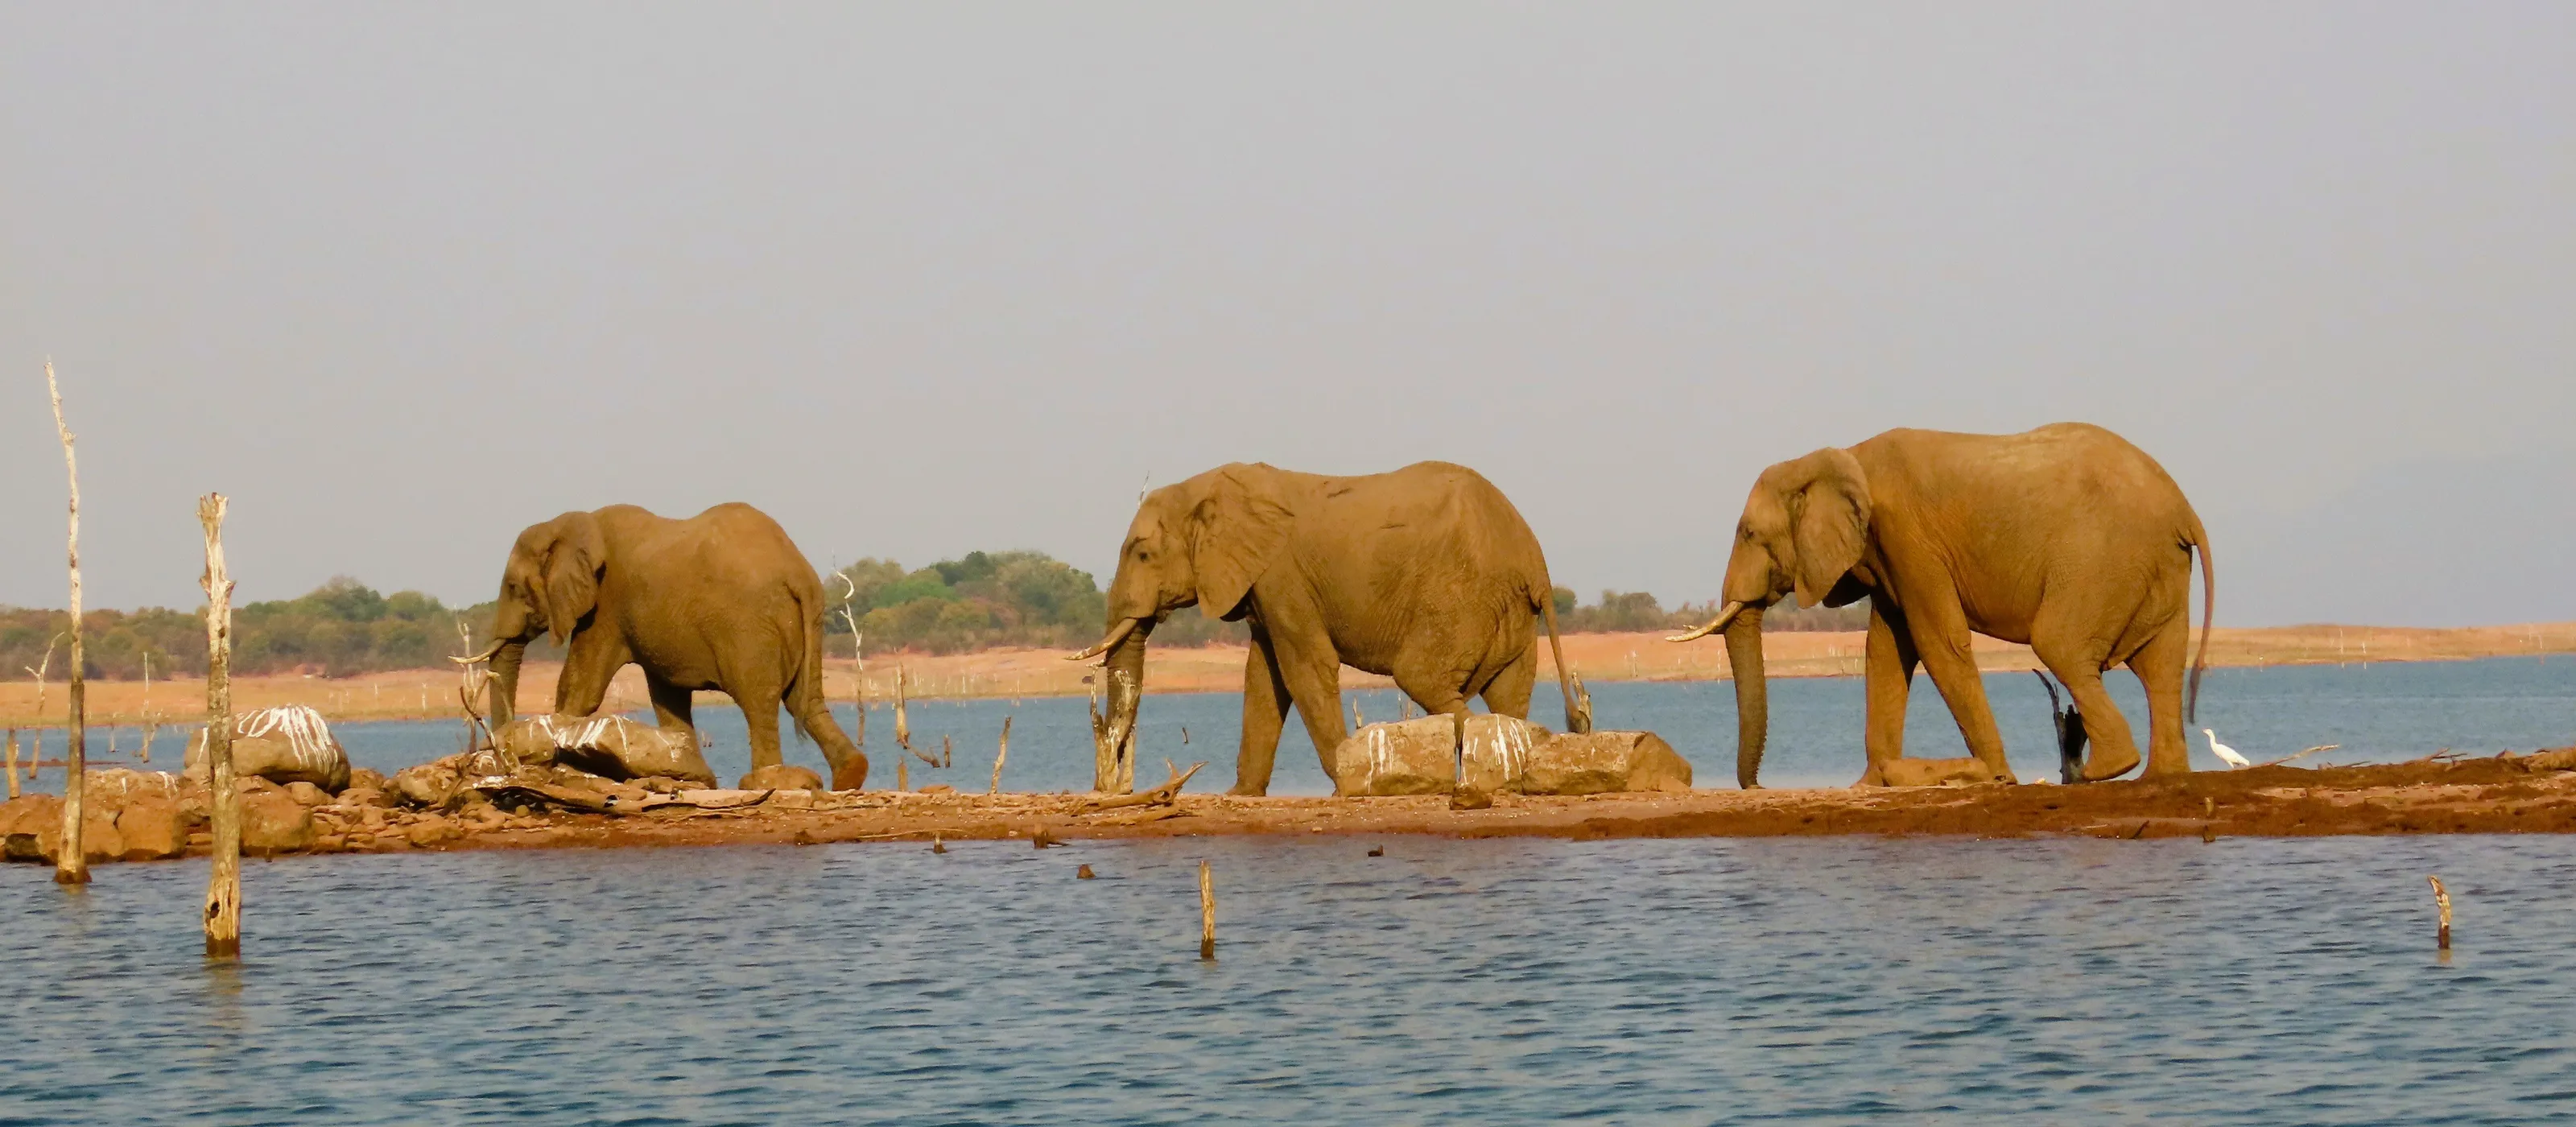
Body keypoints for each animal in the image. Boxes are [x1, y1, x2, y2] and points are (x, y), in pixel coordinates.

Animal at [453, 503, 866, 790]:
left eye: (514, 588)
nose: (508, 764)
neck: (572, 523)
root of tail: (799, 575)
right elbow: (668, 698)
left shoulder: (606, 606)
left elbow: (581, 687)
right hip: (807, 624)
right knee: (805, 700)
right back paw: (850, 775)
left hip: (749, 629)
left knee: (759, 701)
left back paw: (766, 782)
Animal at [1069, 461, 1587, 796]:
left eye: (1142, 554)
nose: (1111, 787)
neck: (1205, 488)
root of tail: (1535, 559)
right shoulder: (1261, 585)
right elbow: (1264, 679)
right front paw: (1241, 796)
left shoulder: (1282, 577)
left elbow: (1303, 669)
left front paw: (1348, 784)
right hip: (1508, 611)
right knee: (1506, 698)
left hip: (1462, 597)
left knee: (1421, 678)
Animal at [1669, 423, 2213, 787]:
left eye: (1748, 533)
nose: (1758, 785)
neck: (1841, 457)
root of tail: (2184, 509)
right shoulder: (1885, 554)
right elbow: (1886, 653)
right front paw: (1869, 785)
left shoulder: (1907, 537)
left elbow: (1938, 641)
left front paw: (1998, 777)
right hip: (2157, 566)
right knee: (2161, 665)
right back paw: (2160, 776)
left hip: (2101, 560)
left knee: (2059, 644)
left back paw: (2108, 769)